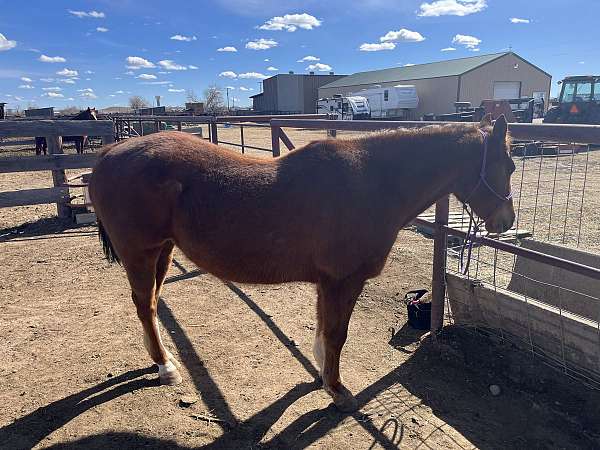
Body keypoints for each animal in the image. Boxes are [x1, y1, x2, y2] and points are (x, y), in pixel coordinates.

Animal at [90, 113, 516, 412]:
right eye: (509, 166)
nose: (506, 222)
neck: (372, 182)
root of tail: (109, 155)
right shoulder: (343, 280)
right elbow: (337, 334)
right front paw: (338, 390)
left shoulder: (327, 282)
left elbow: (325, 329)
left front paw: (322, 374)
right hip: (140, 253)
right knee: (144, 304)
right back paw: (165, 367)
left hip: (162, 252)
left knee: (150, 304)